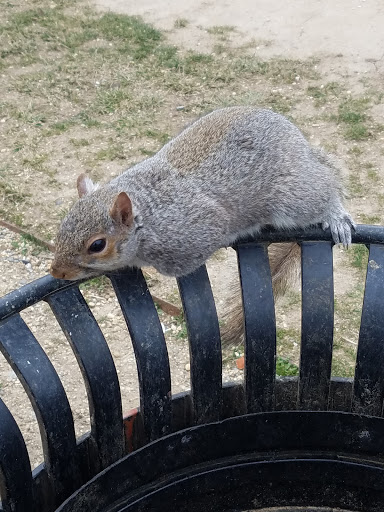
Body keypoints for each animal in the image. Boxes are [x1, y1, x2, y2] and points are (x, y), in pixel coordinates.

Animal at [50, 106, 354, 320]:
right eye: (61, 227)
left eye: (97, 245)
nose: (57, 272)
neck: (147, 215)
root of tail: (301, 146)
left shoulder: (192, 236)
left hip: (291, 197)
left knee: (325, 188)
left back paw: (336, 215)